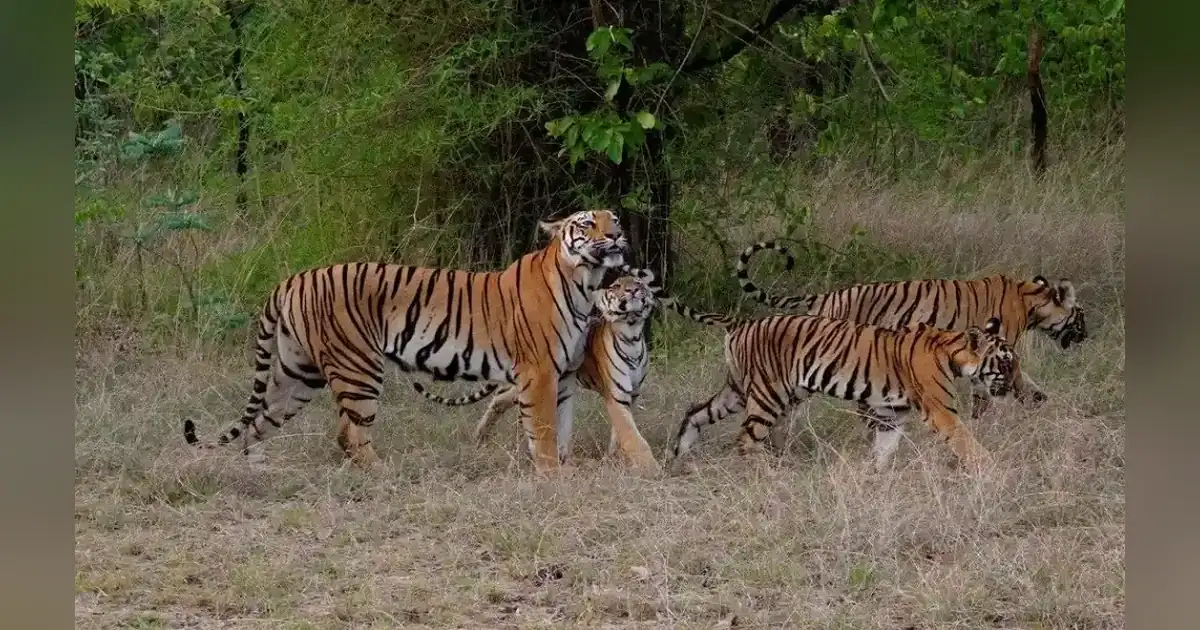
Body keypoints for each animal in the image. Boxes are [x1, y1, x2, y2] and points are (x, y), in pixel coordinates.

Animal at [181, 208, 630, 474]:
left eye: (614, 220)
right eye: (588, 224)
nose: (618, 234)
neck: (584, 280)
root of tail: (290, 280)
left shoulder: (563, 375)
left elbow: (563, 426)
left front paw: (563, 469)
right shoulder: (539, 373)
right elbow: (545, 428)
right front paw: (551, 473)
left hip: (297, 374)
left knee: (259, 424)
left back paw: (258, 472)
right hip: (359, 367)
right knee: (351, 434)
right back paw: (384, 473)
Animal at [412, 269, 661, 470]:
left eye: (639, 282)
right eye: (616, 286)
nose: (633, 290)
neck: (632, 336)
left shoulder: (631, 395)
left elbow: (621, 433)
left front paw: (615, 457)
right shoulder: (615, 395)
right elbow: (631, 435)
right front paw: (651, 468)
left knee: (501, 399)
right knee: (502, 399)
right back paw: (484, 436)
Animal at [660, 296, 1017, 472]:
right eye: (1006, 363)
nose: (1015, 389)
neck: (951, 350)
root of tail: (742, 322)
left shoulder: (891, 413)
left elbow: (885, 447)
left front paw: (876, 476)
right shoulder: (941, 410)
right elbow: (966, 441)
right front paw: (993, 469)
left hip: (737, 390)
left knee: (696, 412)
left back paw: (678, 456)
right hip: (768, 394)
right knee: (746, 438)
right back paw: (767, 473)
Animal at [733, 241, 1087, 417]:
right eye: (1081, 316)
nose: (1087, 336)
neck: (1031, 300)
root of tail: (828, 295)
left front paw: (1038, 399)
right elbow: (1002, 384)